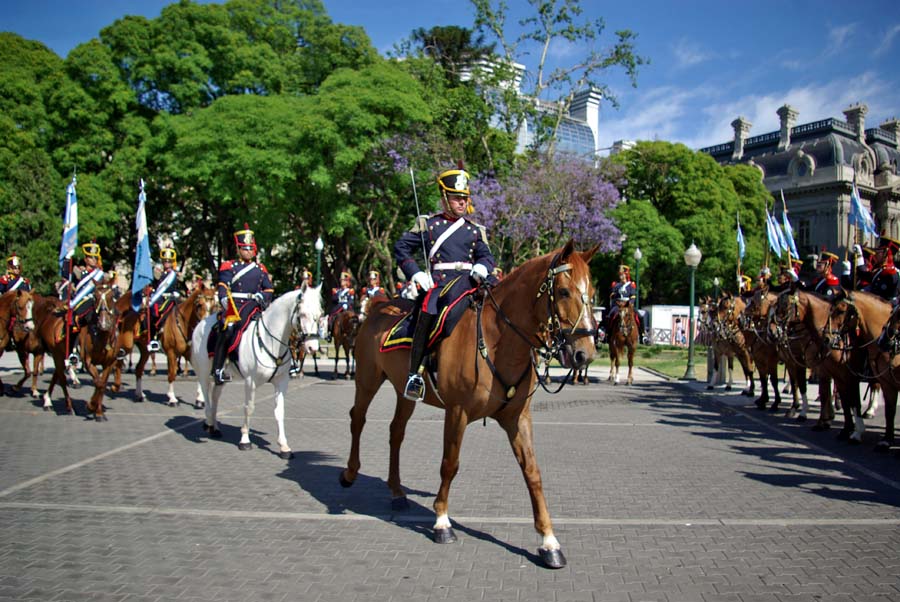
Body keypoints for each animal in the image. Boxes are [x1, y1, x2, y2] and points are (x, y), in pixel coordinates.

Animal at [193, 284, 324, 458]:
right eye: (302, 314)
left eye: (320, 314)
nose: (312, 347)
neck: (271, 342)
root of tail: (202, 323)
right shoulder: (250, 381)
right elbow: (249, 408)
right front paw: (245, 440)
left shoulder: (281, 382)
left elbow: (279, 411)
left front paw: (284, 446)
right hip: (203, 372)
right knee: (206, 397)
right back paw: (208, 422)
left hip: (221, 378)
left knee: (215, 397)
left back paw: (214, 427)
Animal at [340, 240, 596, 568]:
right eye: (563, 292)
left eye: (592, 293)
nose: (585, 354)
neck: (499, 341)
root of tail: (379, 305)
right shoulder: (457, 412)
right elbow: (450, 465)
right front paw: (442, 522)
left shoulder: (518, 418)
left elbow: (533, 473)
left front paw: (548, 540)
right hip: (367, 379)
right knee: (357, 419)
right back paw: (349, 473)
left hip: (403, 392)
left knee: (396, 432)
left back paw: (396, 491)